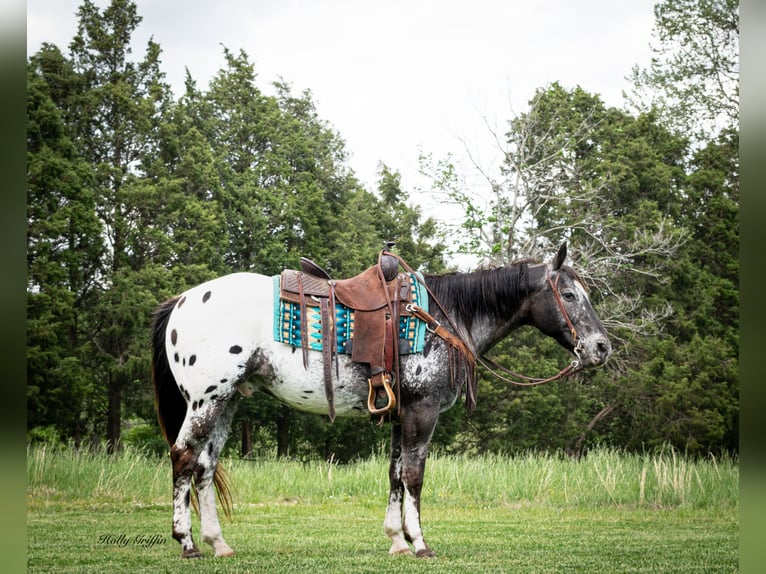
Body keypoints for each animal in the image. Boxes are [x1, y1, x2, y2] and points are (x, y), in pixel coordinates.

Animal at [153, 242, 616, 560]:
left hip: (228, 401)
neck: (442, 318)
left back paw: (218, 543)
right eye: (570, 296)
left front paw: (397, 540)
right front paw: (421, 543)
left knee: (205, 466)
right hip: (207, 400)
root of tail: (181, 300)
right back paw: (187, 542)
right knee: (183, 457)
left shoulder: (400, 414)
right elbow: (414, 476)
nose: (601, 347)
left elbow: (394, 475)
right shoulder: (422, 411)